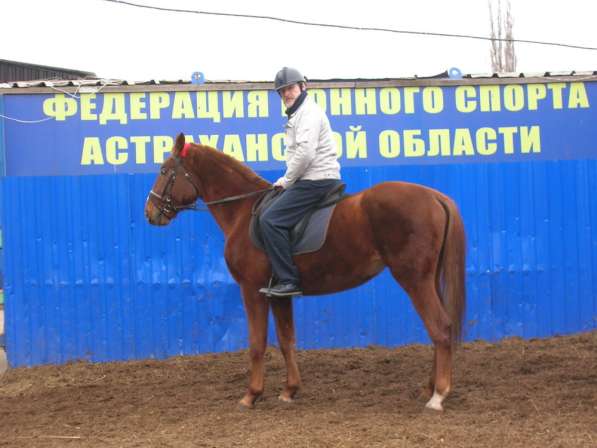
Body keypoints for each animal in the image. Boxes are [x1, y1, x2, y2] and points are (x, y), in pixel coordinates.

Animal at [144, 133, 466, 412]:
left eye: (164, 170)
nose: (150, 212)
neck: (243, 211)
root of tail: (435, 196)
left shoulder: (251, 290)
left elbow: (257, 343)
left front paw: (251, 395)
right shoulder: (278, 293)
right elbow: (287, 339)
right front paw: (289, 391)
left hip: (414, 279)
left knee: (440, 328)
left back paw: (438, 395)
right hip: (429, 280)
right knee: (439, 329)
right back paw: (429, 388)